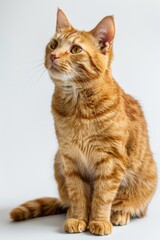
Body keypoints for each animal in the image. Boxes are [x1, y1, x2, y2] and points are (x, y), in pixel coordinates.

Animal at [10, 8, 158, 235]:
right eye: (54, 44)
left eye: (75, 49)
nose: (53, 55)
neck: (77, 107)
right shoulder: (69, 158)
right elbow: (78, 194)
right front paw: (79, 218)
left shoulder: (111, 160)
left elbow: (103, 196)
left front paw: (98, 220)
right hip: (58, 161)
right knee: (68, 200)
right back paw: (71, 212)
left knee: (133, 206)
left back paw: (120, 214)